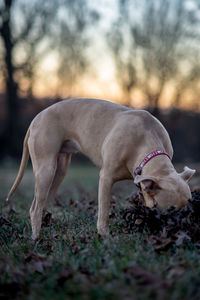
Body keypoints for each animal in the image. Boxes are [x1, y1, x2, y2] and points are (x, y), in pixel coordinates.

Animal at [6, 98, 195, 239]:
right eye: (168, 213)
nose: (182, 231)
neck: (146, 140)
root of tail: (35, 119)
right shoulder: (106, 178)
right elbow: (104, 211)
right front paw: (104, 237)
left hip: (59, 171)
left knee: (41, 202)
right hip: (46, 168)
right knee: (35, 208)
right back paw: (36, 238)